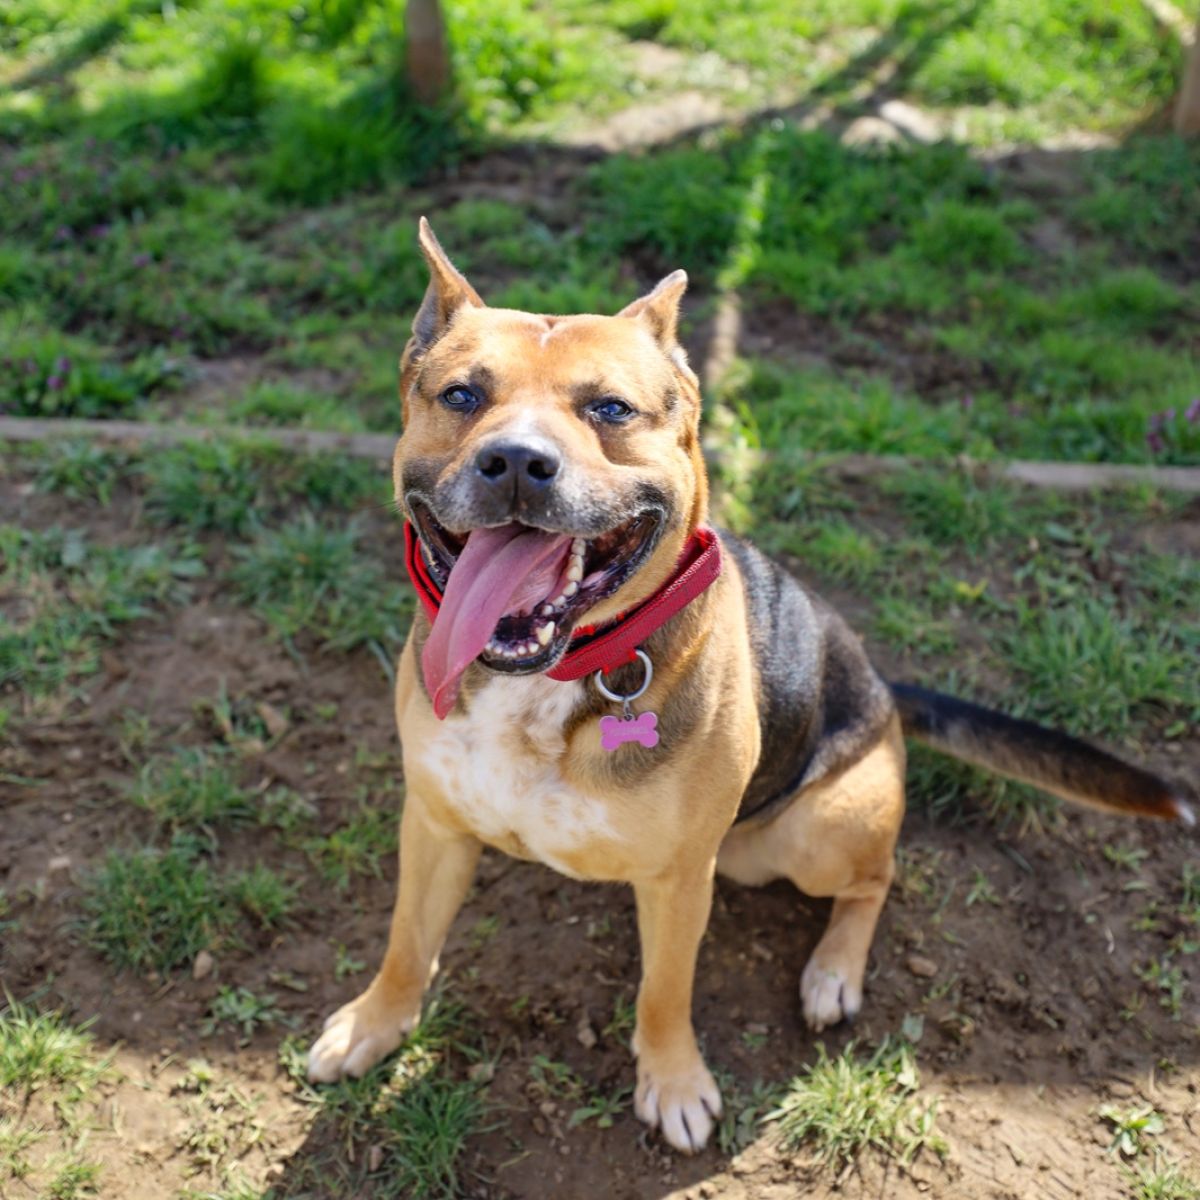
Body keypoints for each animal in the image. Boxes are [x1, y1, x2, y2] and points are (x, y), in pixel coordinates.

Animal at [307, 218, 1195, 1154]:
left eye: (610, 409)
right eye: (462, 395)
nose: (515, 462)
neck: (554, 674)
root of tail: (883, 688)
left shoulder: (677, 879)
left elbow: (664, 991)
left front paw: (674, 1083)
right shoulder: (433, 823)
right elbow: (406, 941)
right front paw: (374, 1023)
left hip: (809, 832)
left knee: (876, 878)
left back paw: (833, 973)